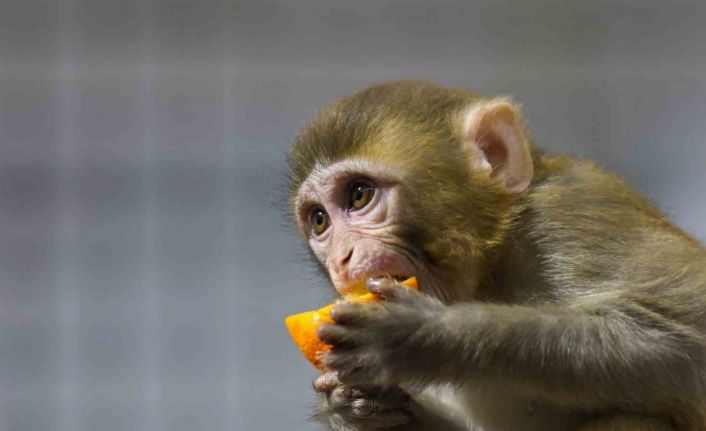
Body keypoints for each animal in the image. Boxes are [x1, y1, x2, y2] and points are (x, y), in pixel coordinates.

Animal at [286, 80, 704, 428]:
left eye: (359, 194)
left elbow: (686, 344)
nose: (341, 257)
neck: (492, 268)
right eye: (320, 220)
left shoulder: (572, 218)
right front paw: (355, 406)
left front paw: (422, 335)